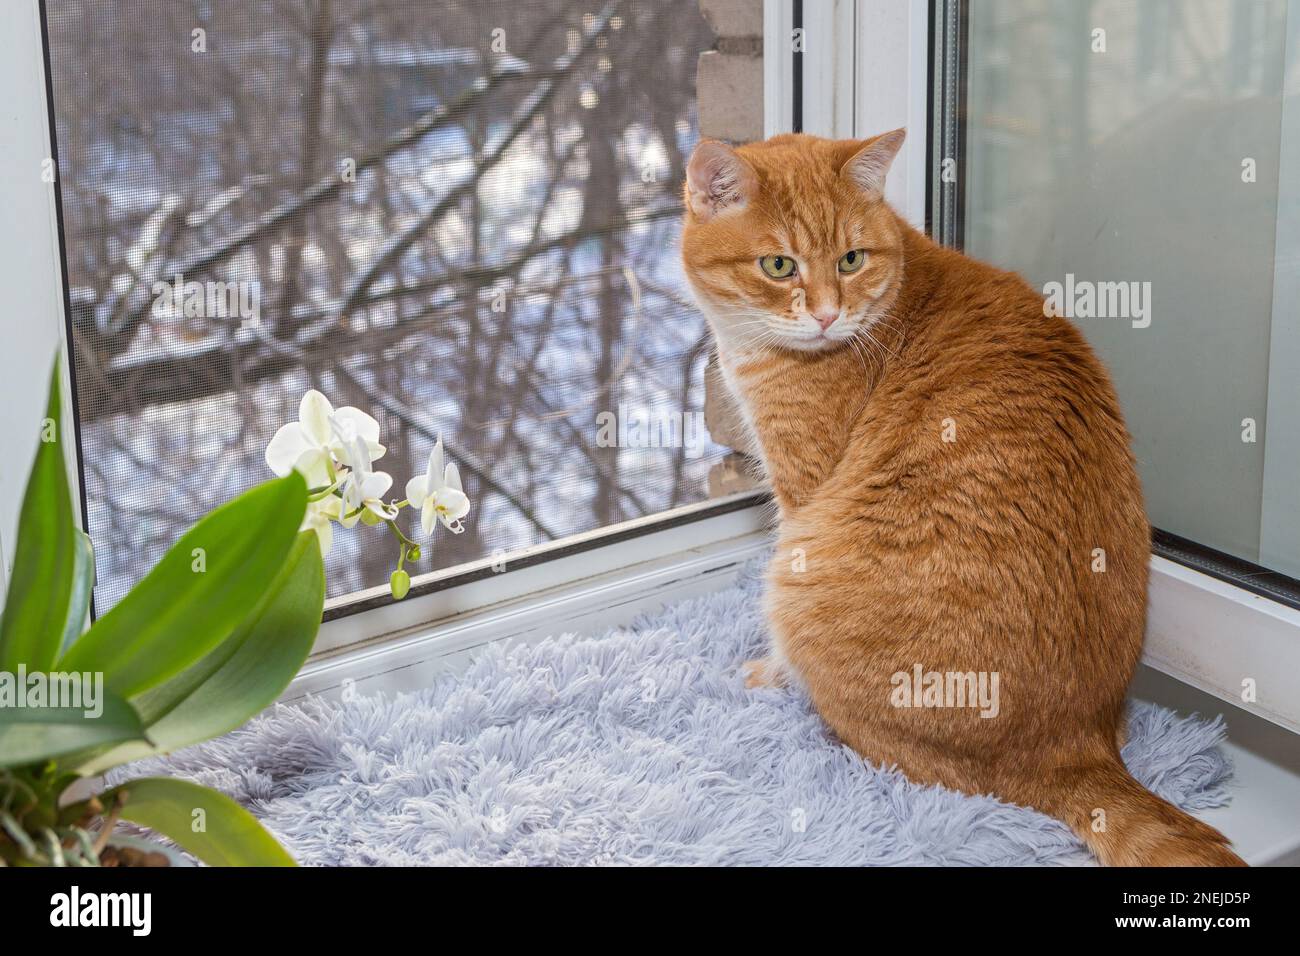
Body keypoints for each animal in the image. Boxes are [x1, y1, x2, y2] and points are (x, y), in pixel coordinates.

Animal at [676, 128, 1242, 868]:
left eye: (851, 259)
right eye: (778, 265)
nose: (828, 315)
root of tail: (1073, 747)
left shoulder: (801, 492)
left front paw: (768, 674)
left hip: (802, 585)